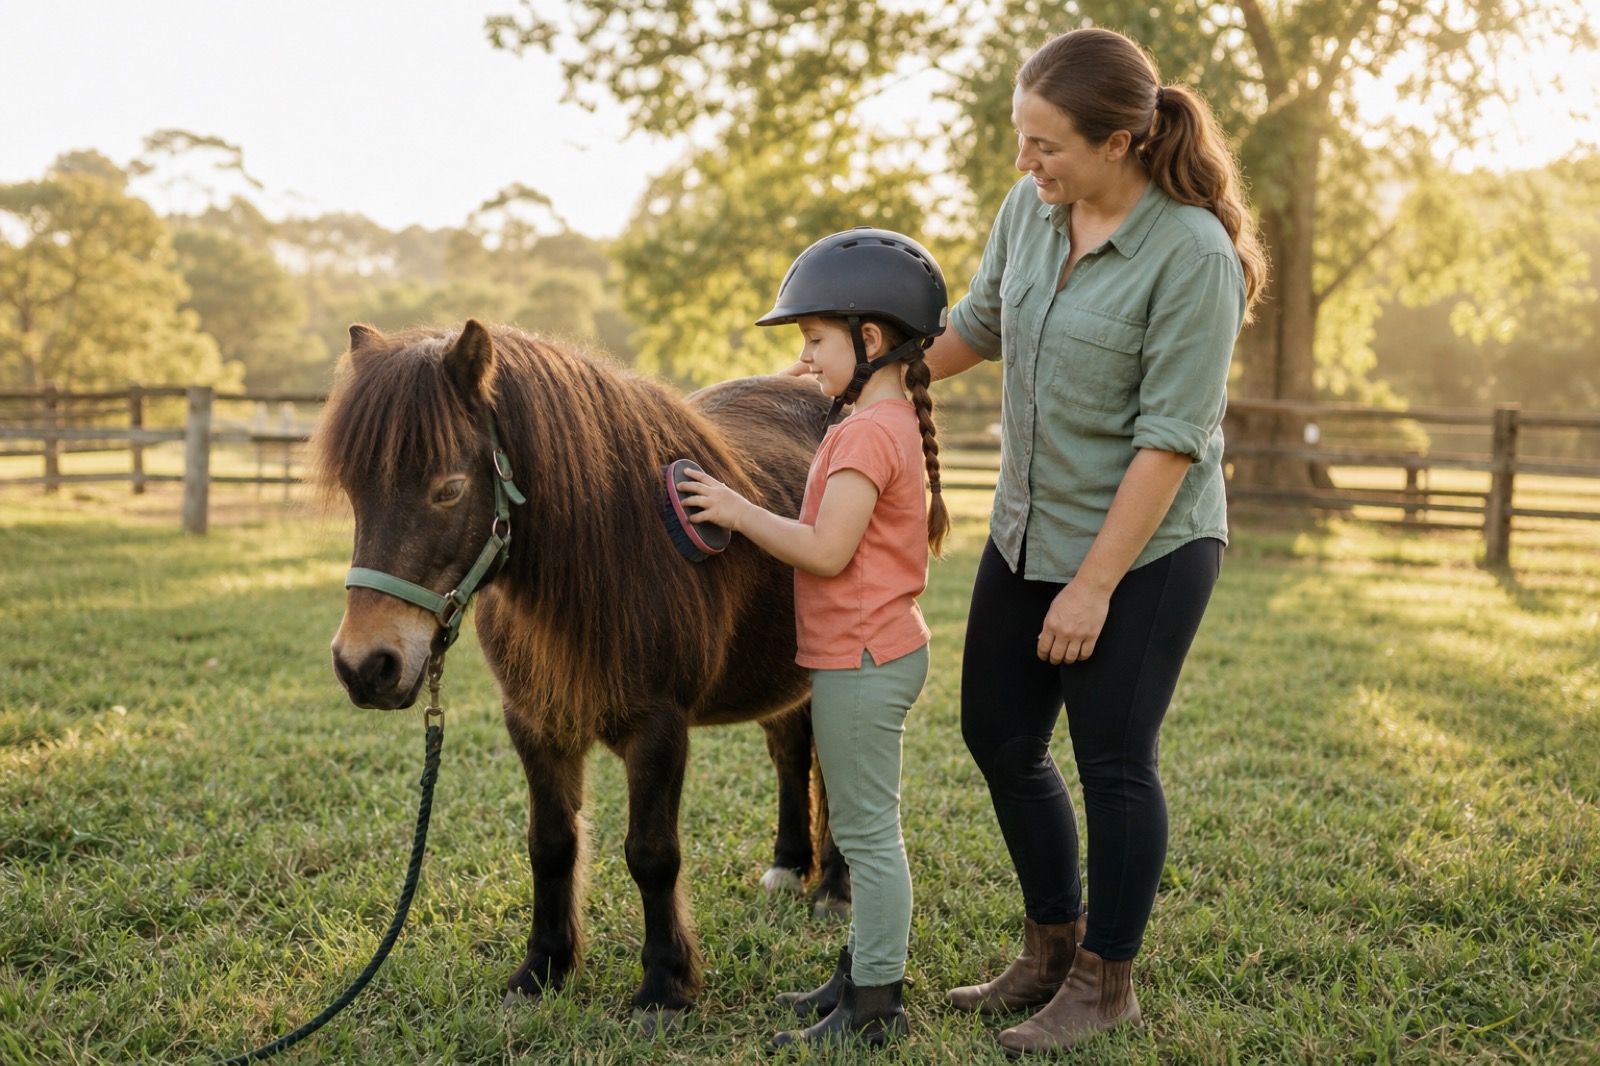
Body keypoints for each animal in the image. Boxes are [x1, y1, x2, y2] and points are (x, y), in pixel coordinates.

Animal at [313, 319, 848, 1028]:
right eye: (355, 491)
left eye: (448, 488)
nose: (365, 666)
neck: (611, 554)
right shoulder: (535, 724)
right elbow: (550, 845)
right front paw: (543, 968)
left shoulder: (658, 729)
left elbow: (651, 854)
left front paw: (664, 986)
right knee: (791, 753)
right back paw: (790, 867)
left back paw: (836, 887)